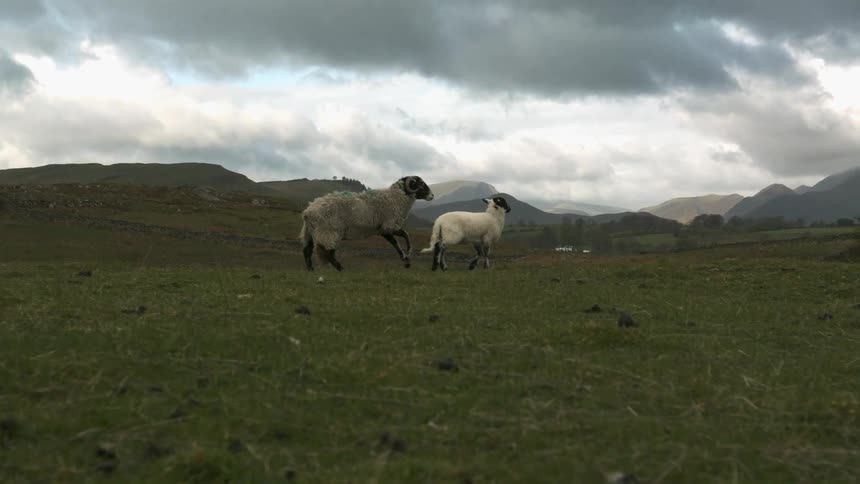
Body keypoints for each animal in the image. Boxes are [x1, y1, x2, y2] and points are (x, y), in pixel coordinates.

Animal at [299, 176, 434, 271]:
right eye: (420, 184)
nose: (432, 196)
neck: (396, 198)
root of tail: (308, 211)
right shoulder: (388, 226)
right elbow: (404, 237)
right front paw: (407, 256)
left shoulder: (383, 230)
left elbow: (398, 241)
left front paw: (406, 259)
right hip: (329, 232)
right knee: (328, 253)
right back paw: (340, 268)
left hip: (311, 232)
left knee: (307, 250)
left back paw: (311, 269)